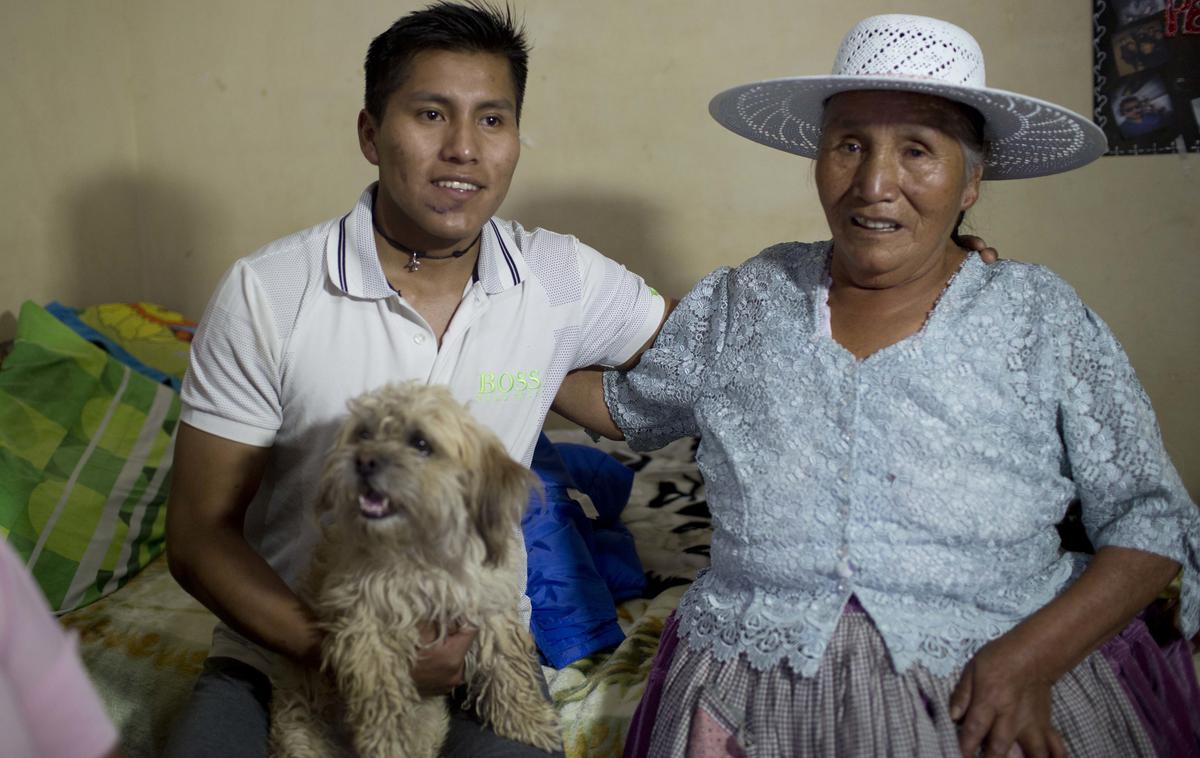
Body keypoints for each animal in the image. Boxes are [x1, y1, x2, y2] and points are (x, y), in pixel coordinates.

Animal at [270, 383, 559, 758]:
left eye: (421, 443)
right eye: (364, 433)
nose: (363, 460)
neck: (421, 549)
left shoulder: (488, 609)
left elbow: (506, 667)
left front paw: (528, 720)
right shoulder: (365, 623)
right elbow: (381, 691)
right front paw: (388, 741)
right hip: (301, 731)